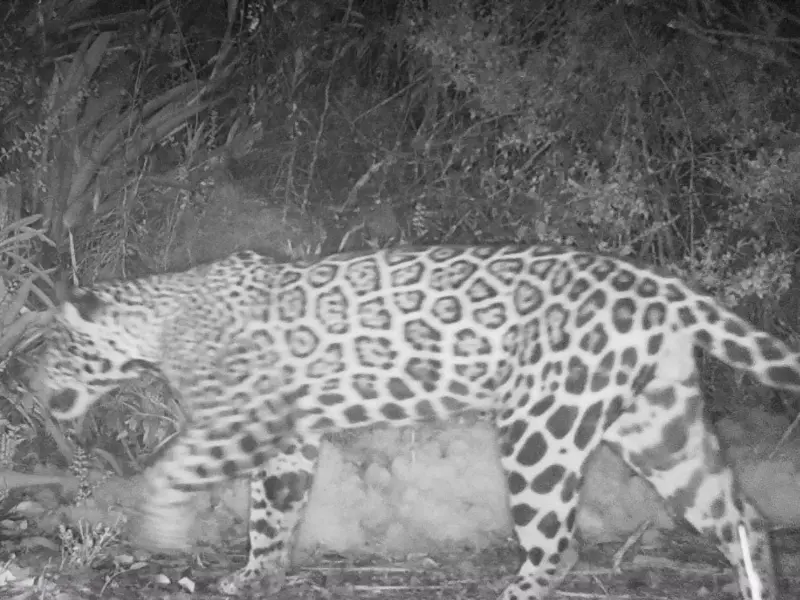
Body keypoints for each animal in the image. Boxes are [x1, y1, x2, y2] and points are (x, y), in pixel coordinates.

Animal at [37, 244, 800, 600]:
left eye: (54, 344)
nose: (25, 378)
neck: (159, 321)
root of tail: (656, 282)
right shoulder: (286, 441)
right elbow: (272, 511)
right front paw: (256, 575)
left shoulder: (241, 420)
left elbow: (173, 469)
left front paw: (158, 529)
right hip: (657, 423)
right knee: (739, 514)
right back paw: (756, 584)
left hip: (543, 427)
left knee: (561, 543)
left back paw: (516, 590)